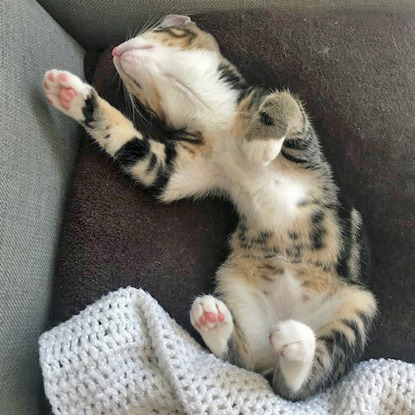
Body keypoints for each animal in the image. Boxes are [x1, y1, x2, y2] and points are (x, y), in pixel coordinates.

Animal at [42, 14, 376, 402]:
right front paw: (72, 96)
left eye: (159, 30)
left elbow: (286, 101)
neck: (215, 115)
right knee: (251, 366)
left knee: (296, 389)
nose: (114, 50)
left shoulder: (305, 147)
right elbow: (136, 151)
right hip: (235, 285)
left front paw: (261, 145)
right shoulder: (174, 168)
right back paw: (217, 323)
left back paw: (296, 346)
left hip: (357, 306)